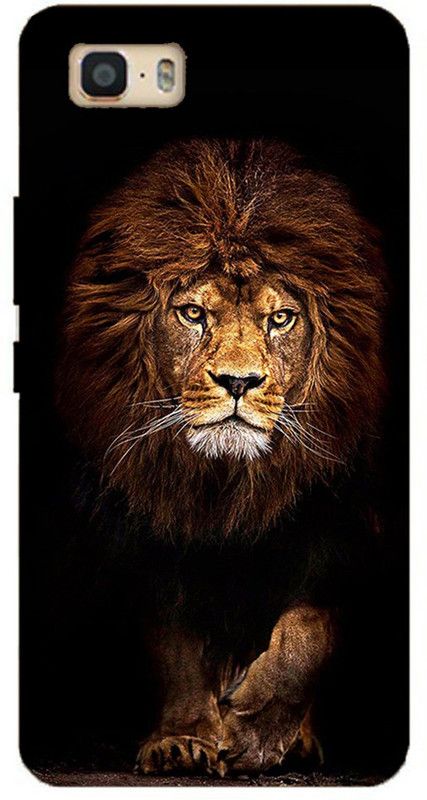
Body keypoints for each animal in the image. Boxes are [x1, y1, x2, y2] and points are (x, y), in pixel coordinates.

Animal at [58, 139, 385, 776]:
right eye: (192, 313)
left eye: (280, 318)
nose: (237, 382)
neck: (227, 486)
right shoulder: (153, 528)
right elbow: (177, 642)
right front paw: (185, 738)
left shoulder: (345, 526)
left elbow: (307, 631)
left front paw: (255, 733)